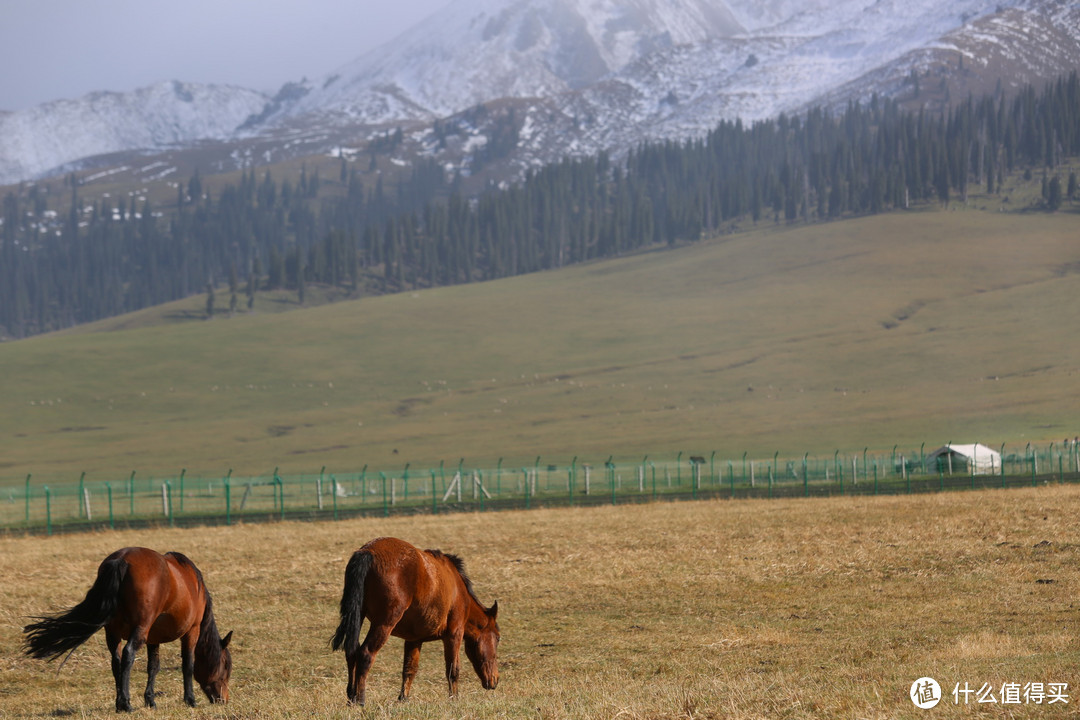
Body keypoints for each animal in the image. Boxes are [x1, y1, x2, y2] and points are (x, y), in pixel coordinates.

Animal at [22, 548, 232, 712]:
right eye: (226, 667)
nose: (223, 700)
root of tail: (121, 560)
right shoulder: (191, 631)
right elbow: (188, 665)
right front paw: (190, 700)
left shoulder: (153, 638)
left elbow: (153, 667)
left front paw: (150, 701)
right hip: (139, 630)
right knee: (128, 654)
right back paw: (126, 703)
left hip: (112, 633)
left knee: (116, 661)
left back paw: (119, 704)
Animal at [328, 537, 501, 708]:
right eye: (498, 638)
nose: (496, 680)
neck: (459, 590)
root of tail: (368, 551)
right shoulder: (454, 634)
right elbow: (453, 669)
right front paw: (454, 699)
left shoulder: (413, 640)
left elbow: (409, 669)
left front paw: (403, 698)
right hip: (384, 624)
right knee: (365, 653)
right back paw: (360, 699)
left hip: (358, 616)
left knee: (351, 652)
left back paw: (351, 698)